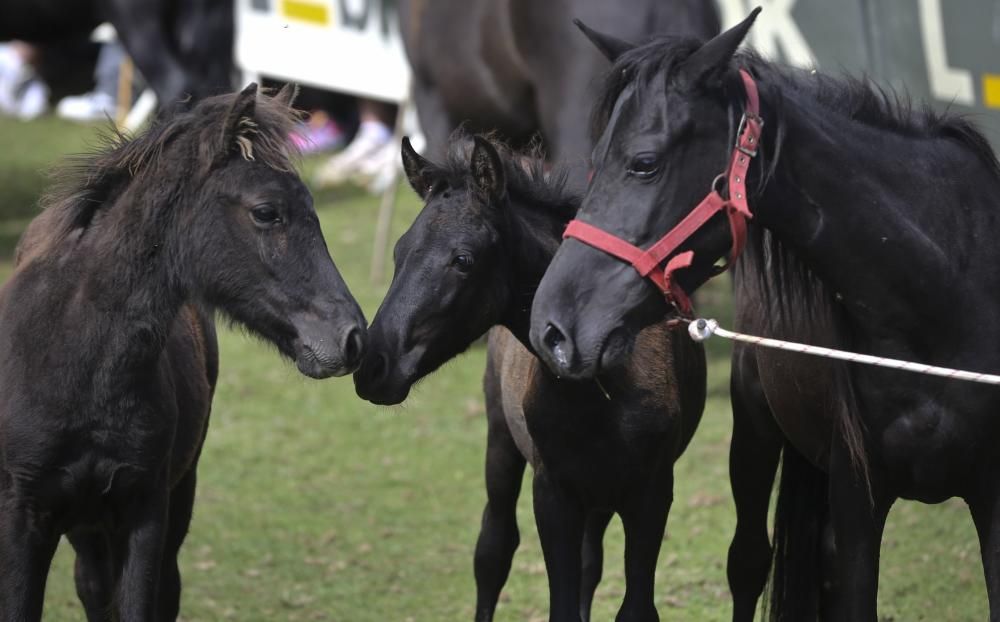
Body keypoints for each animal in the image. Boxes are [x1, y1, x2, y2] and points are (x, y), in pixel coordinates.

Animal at [356, 134, 708, 620]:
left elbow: (633, 606)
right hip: (502, 440)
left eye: (463, 259)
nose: (372, 365)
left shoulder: (652, 494)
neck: (603, 387)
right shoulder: (554, 492)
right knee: (493, 549)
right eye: (398, 251)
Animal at [532, 11, 1000, 622]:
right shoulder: (857, 497)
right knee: (750, 561)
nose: (551, 326)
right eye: (593, 165)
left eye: (644, 163)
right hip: (755, 430)